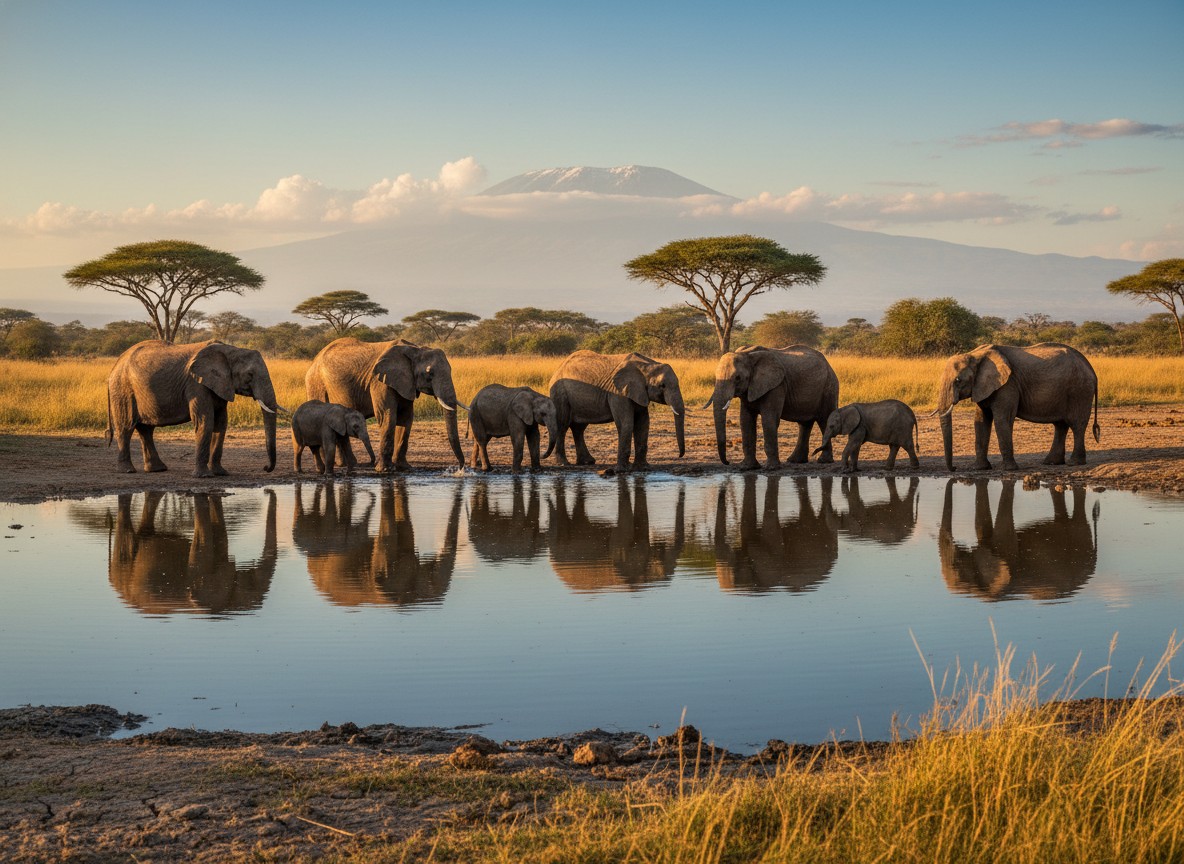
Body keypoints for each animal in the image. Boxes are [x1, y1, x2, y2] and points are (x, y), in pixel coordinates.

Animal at [106, 339, 284, 477]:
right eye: (250, 375)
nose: (265, 468)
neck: (230, 350)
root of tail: (116, 364)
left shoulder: (220, 385)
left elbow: (221, 423)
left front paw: (221, 473)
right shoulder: (196, 384)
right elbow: (205, 421)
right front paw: (204, 476)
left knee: (146, 429)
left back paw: (157, 469)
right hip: (122, 389)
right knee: (126, 426)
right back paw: (127, 471)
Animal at [305, 338, 467, 472]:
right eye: (429, 374)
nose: (460, 468)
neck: (415, 349)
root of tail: (315, 359)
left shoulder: (406, 383)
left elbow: (406, 419)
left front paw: (404, 468)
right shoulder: (379, 382)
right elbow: (388, 416)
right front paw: (385, 470)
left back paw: (344, 464)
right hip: (316, 383)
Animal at [548, 350, 686, 470]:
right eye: (662, 386)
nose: (679, 456)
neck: (647, 366)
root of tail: (558, 369)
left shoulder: (639, 392)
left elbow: (643, 423)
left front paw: (643, 468)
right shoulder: (618, 393)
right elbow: (626, 423)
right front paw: (622, 470)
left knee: (579, 428)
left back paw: (588, 462)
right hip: (560, 393)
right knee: (563, 424)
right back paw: (564, 463)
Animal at [705, 345, 839, 470]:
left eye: (738, 378)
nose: (728, 462)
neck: (747, 354)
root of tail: (828, 364)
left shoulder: (776, 386)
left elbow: (769, 420)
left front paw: (771, 468)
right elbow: (745, 420)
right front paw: (747, 467)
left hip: (829, 387)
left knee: (825, 420)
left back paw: (823, 461)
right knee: (805, 424)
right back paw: (795, 461)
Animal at [934, 343, 1100, 471]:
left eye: (958, 380)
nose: (955, 468)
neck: (975, 354)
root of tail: (1091, 369)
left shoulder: (1008, 385)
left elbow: (1002, 420)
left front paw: (1008, 469)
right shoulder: (982, 386)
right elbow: (981, 421)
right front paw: (980, 468)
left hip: (1080, 390)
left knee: (1077, 424)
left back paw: (1074, 463)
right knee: (1060, 425)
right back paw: (1051, 463)